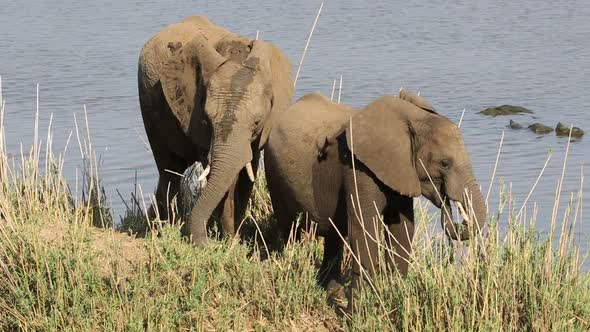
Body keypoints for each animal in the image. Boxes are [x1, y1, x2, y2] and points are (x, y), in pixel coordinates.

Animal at [139, 16, 296, 244]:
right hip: (148, 99)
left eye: (257, 122)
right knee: (169, 171)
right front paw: (230, 241)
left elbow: (248, 172)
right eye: (207, 119)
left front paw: (236, 238)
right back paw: (159, 227)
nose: (205, 242)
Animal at [266, 89, 488, 312]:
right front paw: (357, 312)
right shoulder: (357, 168)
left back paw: (331, 291)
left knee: (333, 237)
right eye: (444, 163)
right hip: (274, 174)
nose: (448, 204)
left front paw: (396, 295)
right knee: (289, 230)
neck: (413, 117)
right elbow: (365, 229)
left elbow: (402, 228)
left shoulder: (400, 171)